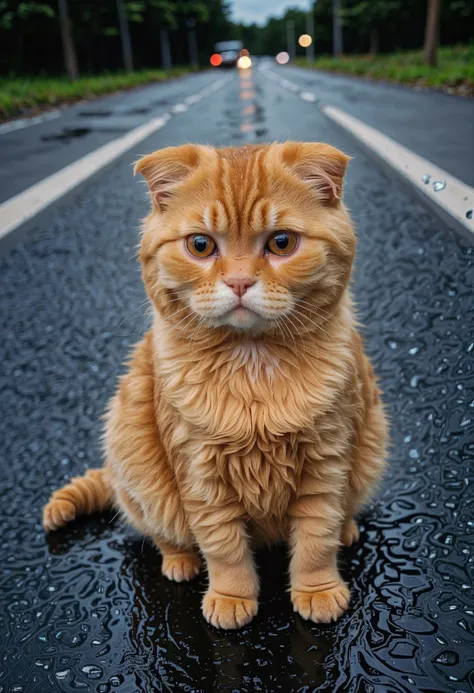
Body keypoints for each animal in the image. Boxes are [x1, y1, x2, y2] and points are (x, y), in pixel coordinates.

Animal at [43, 141, 386, 628]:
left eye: (282, 243)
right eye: (201, 246)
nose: (239, 282)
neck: (252, 363)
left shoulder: (327, 461)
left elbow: (316, 537)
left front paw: (317, 589)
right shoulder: (198, 473)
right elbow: (223, 546)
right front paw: (232, 596)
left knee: (341, 514)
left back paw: (347, 528)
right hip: (136, 462)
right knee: (161, 531)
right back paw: (180, 562)